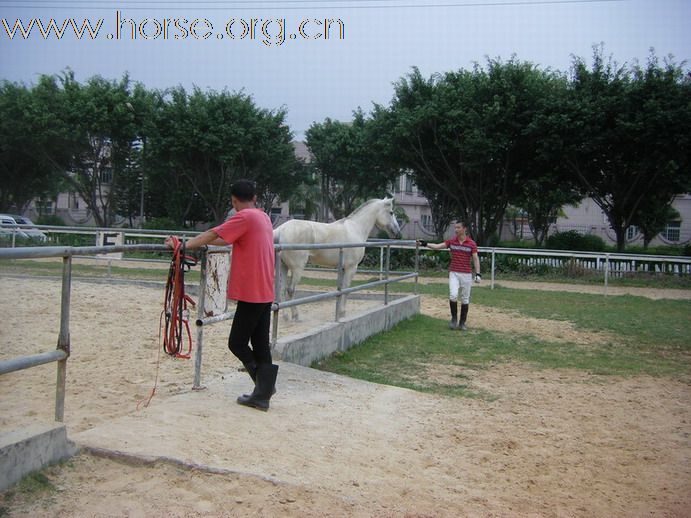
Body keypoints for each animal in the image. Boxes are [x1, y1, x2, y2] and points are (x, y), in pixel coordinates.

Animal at [274, 198, 402, 320]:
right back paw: (296, 316)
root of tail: (280, 230)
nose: (398, 233)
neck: (356, 228)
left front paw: (339, 313)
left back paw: (285, 316)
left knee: (282, 289)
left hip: (284, 267)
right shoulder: (351, 268)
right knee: (290, 290)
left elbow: (340, 289)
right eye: (391, 212)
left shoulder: (343, 268)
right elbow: (346, 289)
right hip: (297, 268)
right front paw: (342, 313)